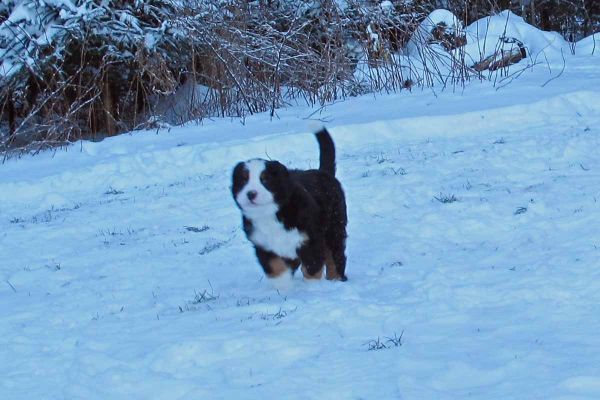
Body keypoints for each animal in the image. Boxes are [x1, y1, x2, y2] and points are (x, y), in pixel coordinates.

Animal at [232, 128, 350, 282]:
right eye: (243, 181)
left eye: (265, 180)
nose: (251, 194)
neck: (272, 213)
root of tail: (322, 172)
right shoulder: (263, 243)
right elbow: (275, 267)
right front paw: (282, 285)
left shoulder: (311, 239)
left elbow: (312, 268)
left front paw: (312, 286)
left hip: (334, 226)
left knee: (335, 256)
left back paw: (335, 279)